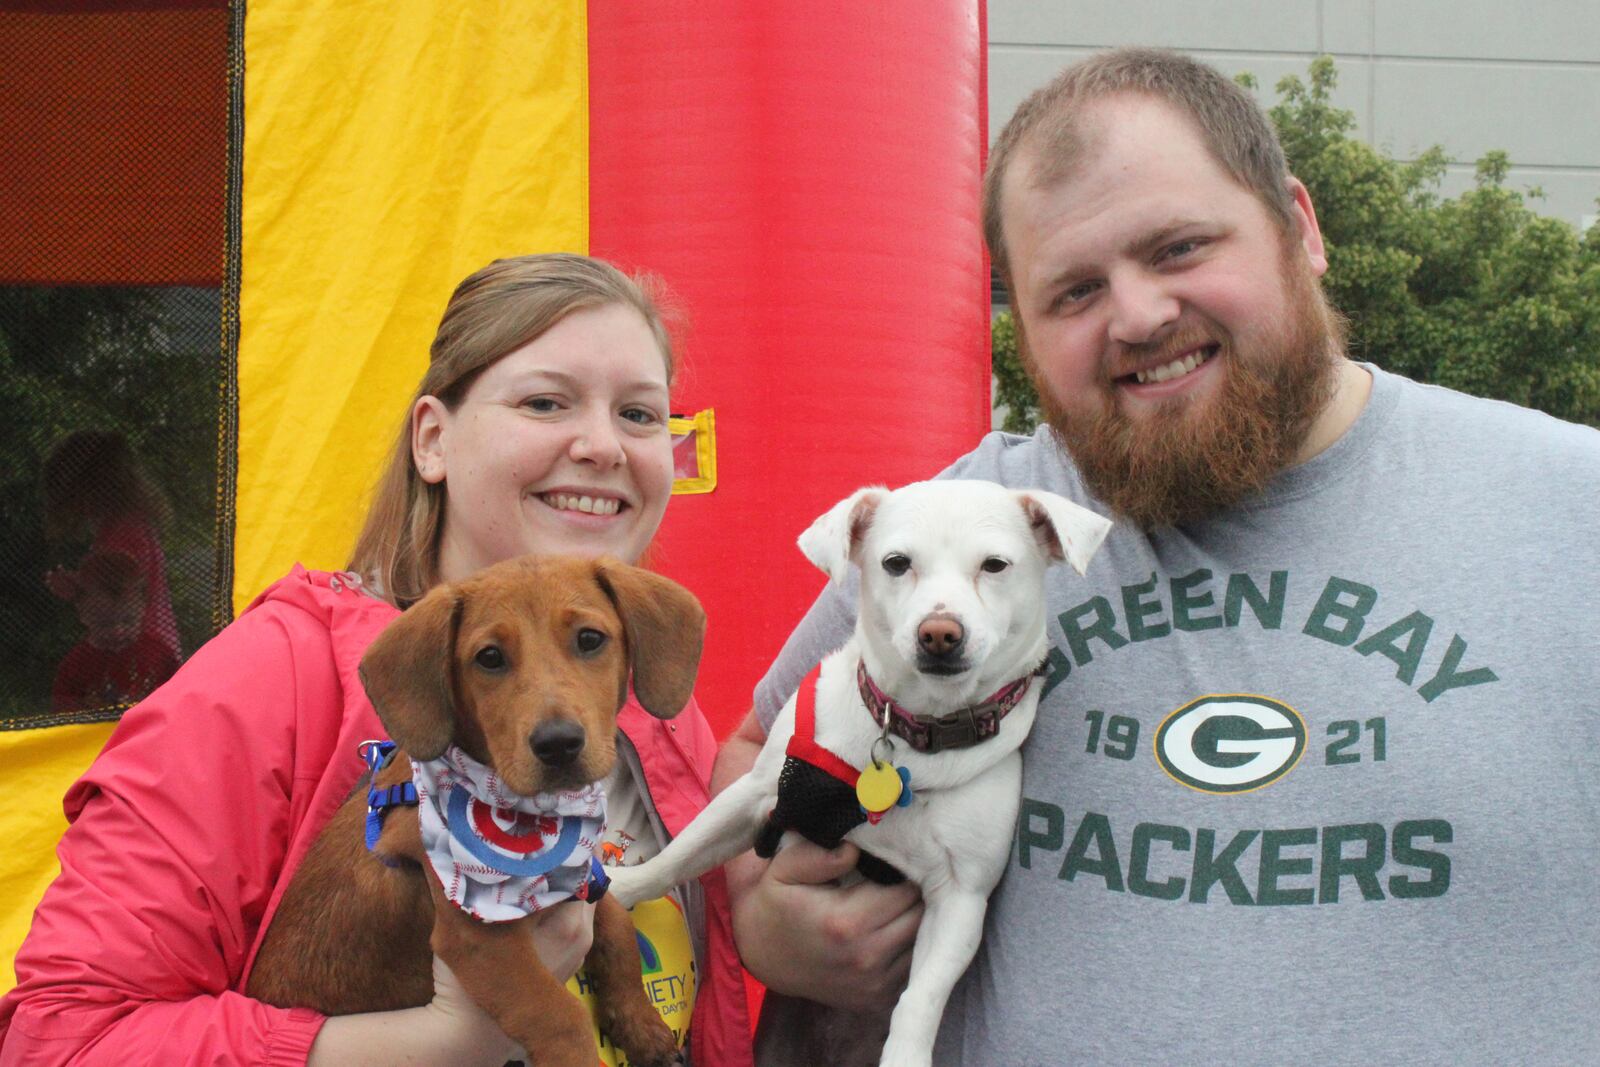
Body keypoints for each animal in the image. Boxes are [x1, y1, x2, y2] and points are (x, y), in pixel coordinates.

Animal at [248, 559, 700, 1067]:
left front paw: (641, 1027)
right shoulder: (479, 941)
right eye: (489, 657)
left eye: (589, 638)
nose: (558, 744)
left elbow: (618, 927)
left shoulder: (577, 880)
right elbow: (559, 1014)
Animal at [611, 483, 1113, 1067]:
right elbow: (682, 852)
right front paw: (622, 887)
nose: (939, 632)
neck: (912, 737)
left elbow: (921, 997)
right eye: (896, 563)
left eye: (995, 565)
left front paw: (906, 1056)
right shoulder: (759, 793)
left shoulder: (961, 898)